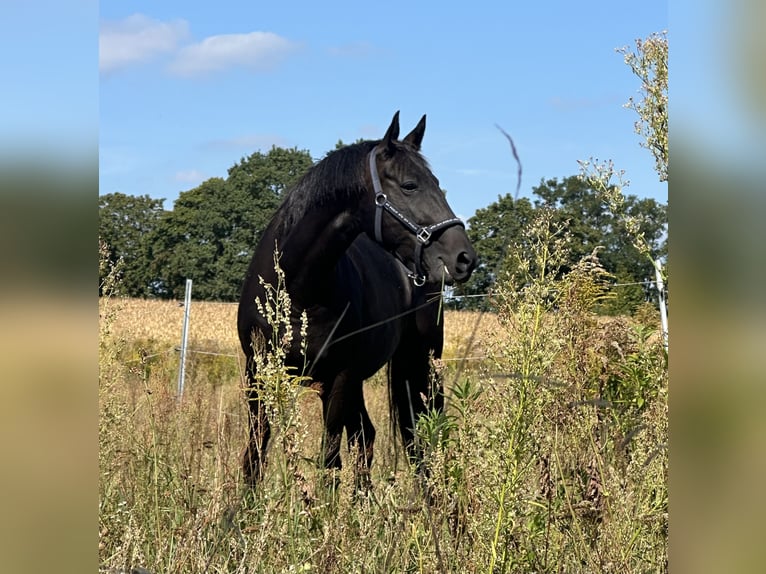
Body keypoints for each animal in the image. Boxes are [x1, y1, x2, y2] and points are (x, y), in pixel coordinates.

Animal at [237, 112, 477, 486]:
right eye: (410, 185)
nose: (464, 258)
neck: (299, 287)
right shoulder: (257, 371)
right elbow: (255, 455)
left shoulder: (338, 377)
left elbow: (329, 461)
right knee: (367, 436)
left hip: (419, 366)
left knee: (418, 441)